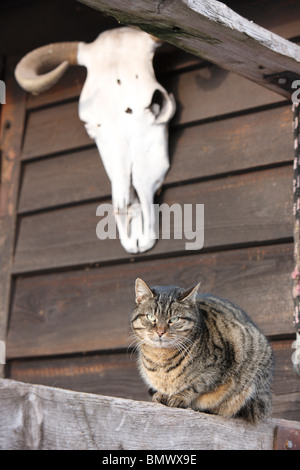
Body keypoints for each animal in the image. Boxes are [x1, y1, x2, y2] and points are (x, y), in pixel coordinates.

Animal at [130, 278, 274, 424]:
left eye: (174, 319)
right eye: (150, 317)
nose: (160, 332)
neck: (160, 356)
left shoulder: (217, 368)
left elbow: (196, 385)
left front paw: (180, 397)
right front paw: (161, 394)